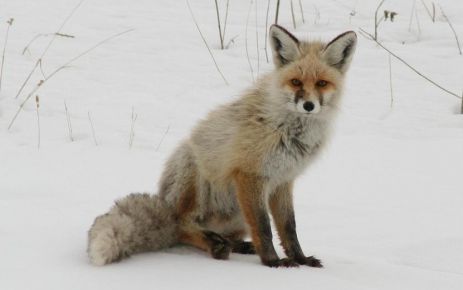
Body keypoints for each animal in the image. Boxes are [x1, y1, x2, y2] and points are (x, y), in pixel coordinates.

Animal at [87, 24, 358, 268]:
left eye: (322, 83)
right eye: (295, 82)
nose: (309, 106)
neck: (289, 130)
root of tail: (165, 203)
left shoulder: (282, 181)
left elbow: (288, 227)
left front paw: (300, 259)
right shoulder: (250, 175)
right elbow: (264, 228)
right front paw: (272, 262)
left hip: (238, 211)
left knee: (222, 234)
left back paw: (233, 244)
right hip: (195, 174)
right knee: (182, 226)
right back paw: (214, 245)